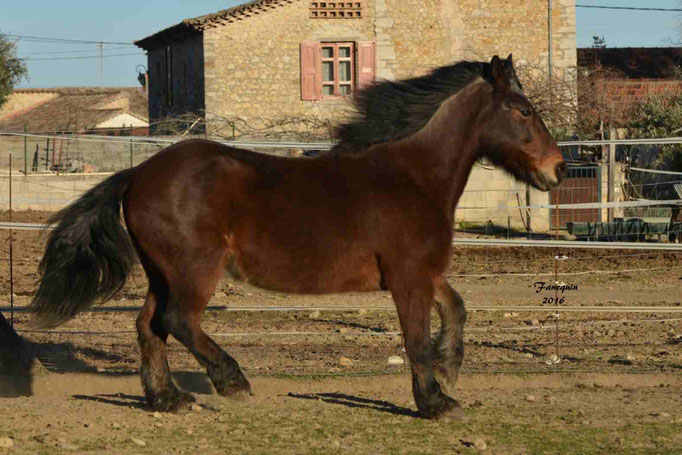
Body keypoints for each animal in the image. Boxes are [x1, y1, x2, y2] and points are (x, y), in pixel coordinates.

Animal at [30, 55, 564, 422]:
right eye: (521, 110)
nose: (556, 170)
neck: (412, 176)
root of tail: (138, 174)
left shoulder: (421, 272)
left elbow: (456, 307)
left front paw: (450, 370)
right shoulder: (407, 276)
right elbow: (414, 339)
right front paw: (434, 403)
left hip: (163, 272)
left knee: (149, 326)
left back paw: (168, 399)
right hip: (194, 269)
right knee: (178, 320)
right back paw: (232, 381)